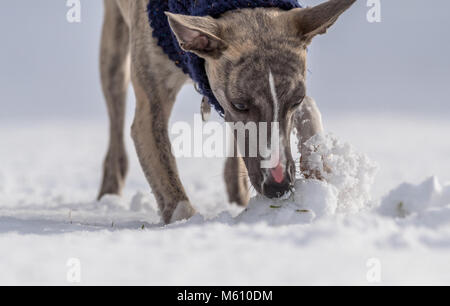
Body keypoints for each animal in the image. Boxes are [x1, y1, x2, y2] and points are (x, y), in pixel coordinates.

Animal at [97, 0, 356, 225]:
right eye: (240, 105)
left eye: (296, 100)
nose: (279, 187)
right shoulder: (150, 107)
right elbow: (167, 178)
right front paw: (185, 221)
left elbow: (309, 110)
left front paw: (320, 175)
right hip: (115, 51)